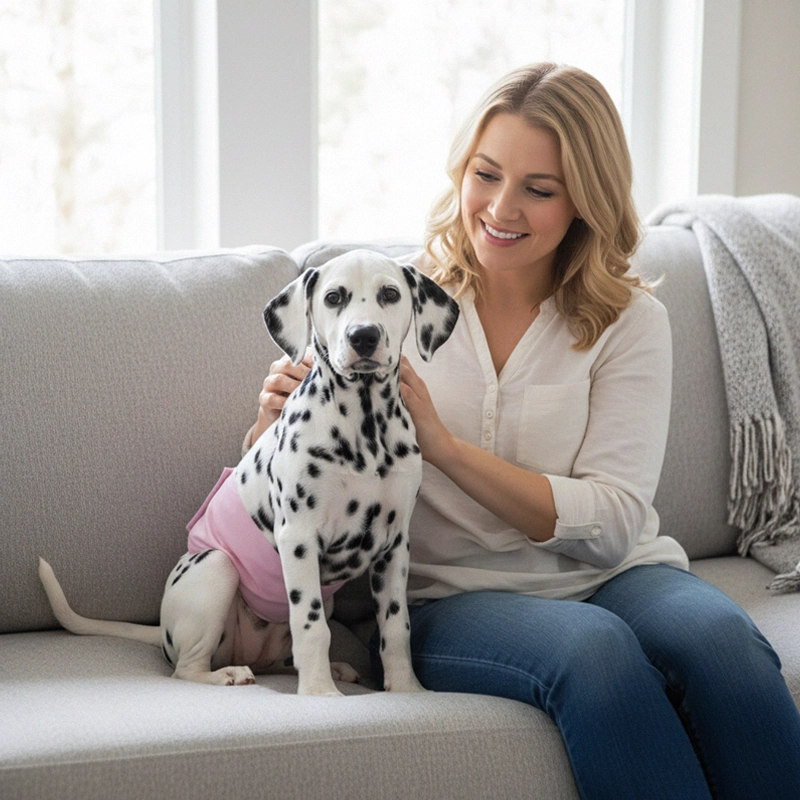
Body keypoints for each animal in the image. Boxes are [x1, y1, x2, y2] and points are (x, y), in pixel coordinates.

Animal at [39, 250, 460, 696]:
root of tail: (163, 625)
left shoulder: (394, 547)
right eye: (333, 297)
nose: (363, 336)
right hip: (215, 567)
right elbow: (311, 625)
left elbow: (396, 627)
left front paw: (406, 688)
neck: (365, 427)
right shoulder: (299, 537)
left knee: (283, 659)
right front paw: (319, 693)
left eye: (390, 294)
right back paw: (227, 674)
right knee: (186, 668)